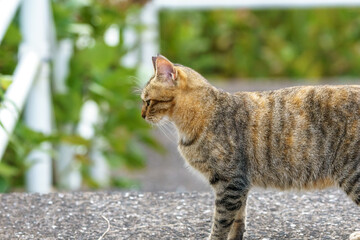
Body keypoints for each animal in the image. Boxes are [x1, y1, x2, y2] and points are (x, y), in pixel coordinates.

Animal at [140, 54, 360, 240]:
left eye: (147, 101)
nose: (141, 115)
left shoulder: (230, 182)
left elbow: (220, 223)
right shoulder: (239, 184)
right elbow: (238, 220)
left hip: (352, 174)